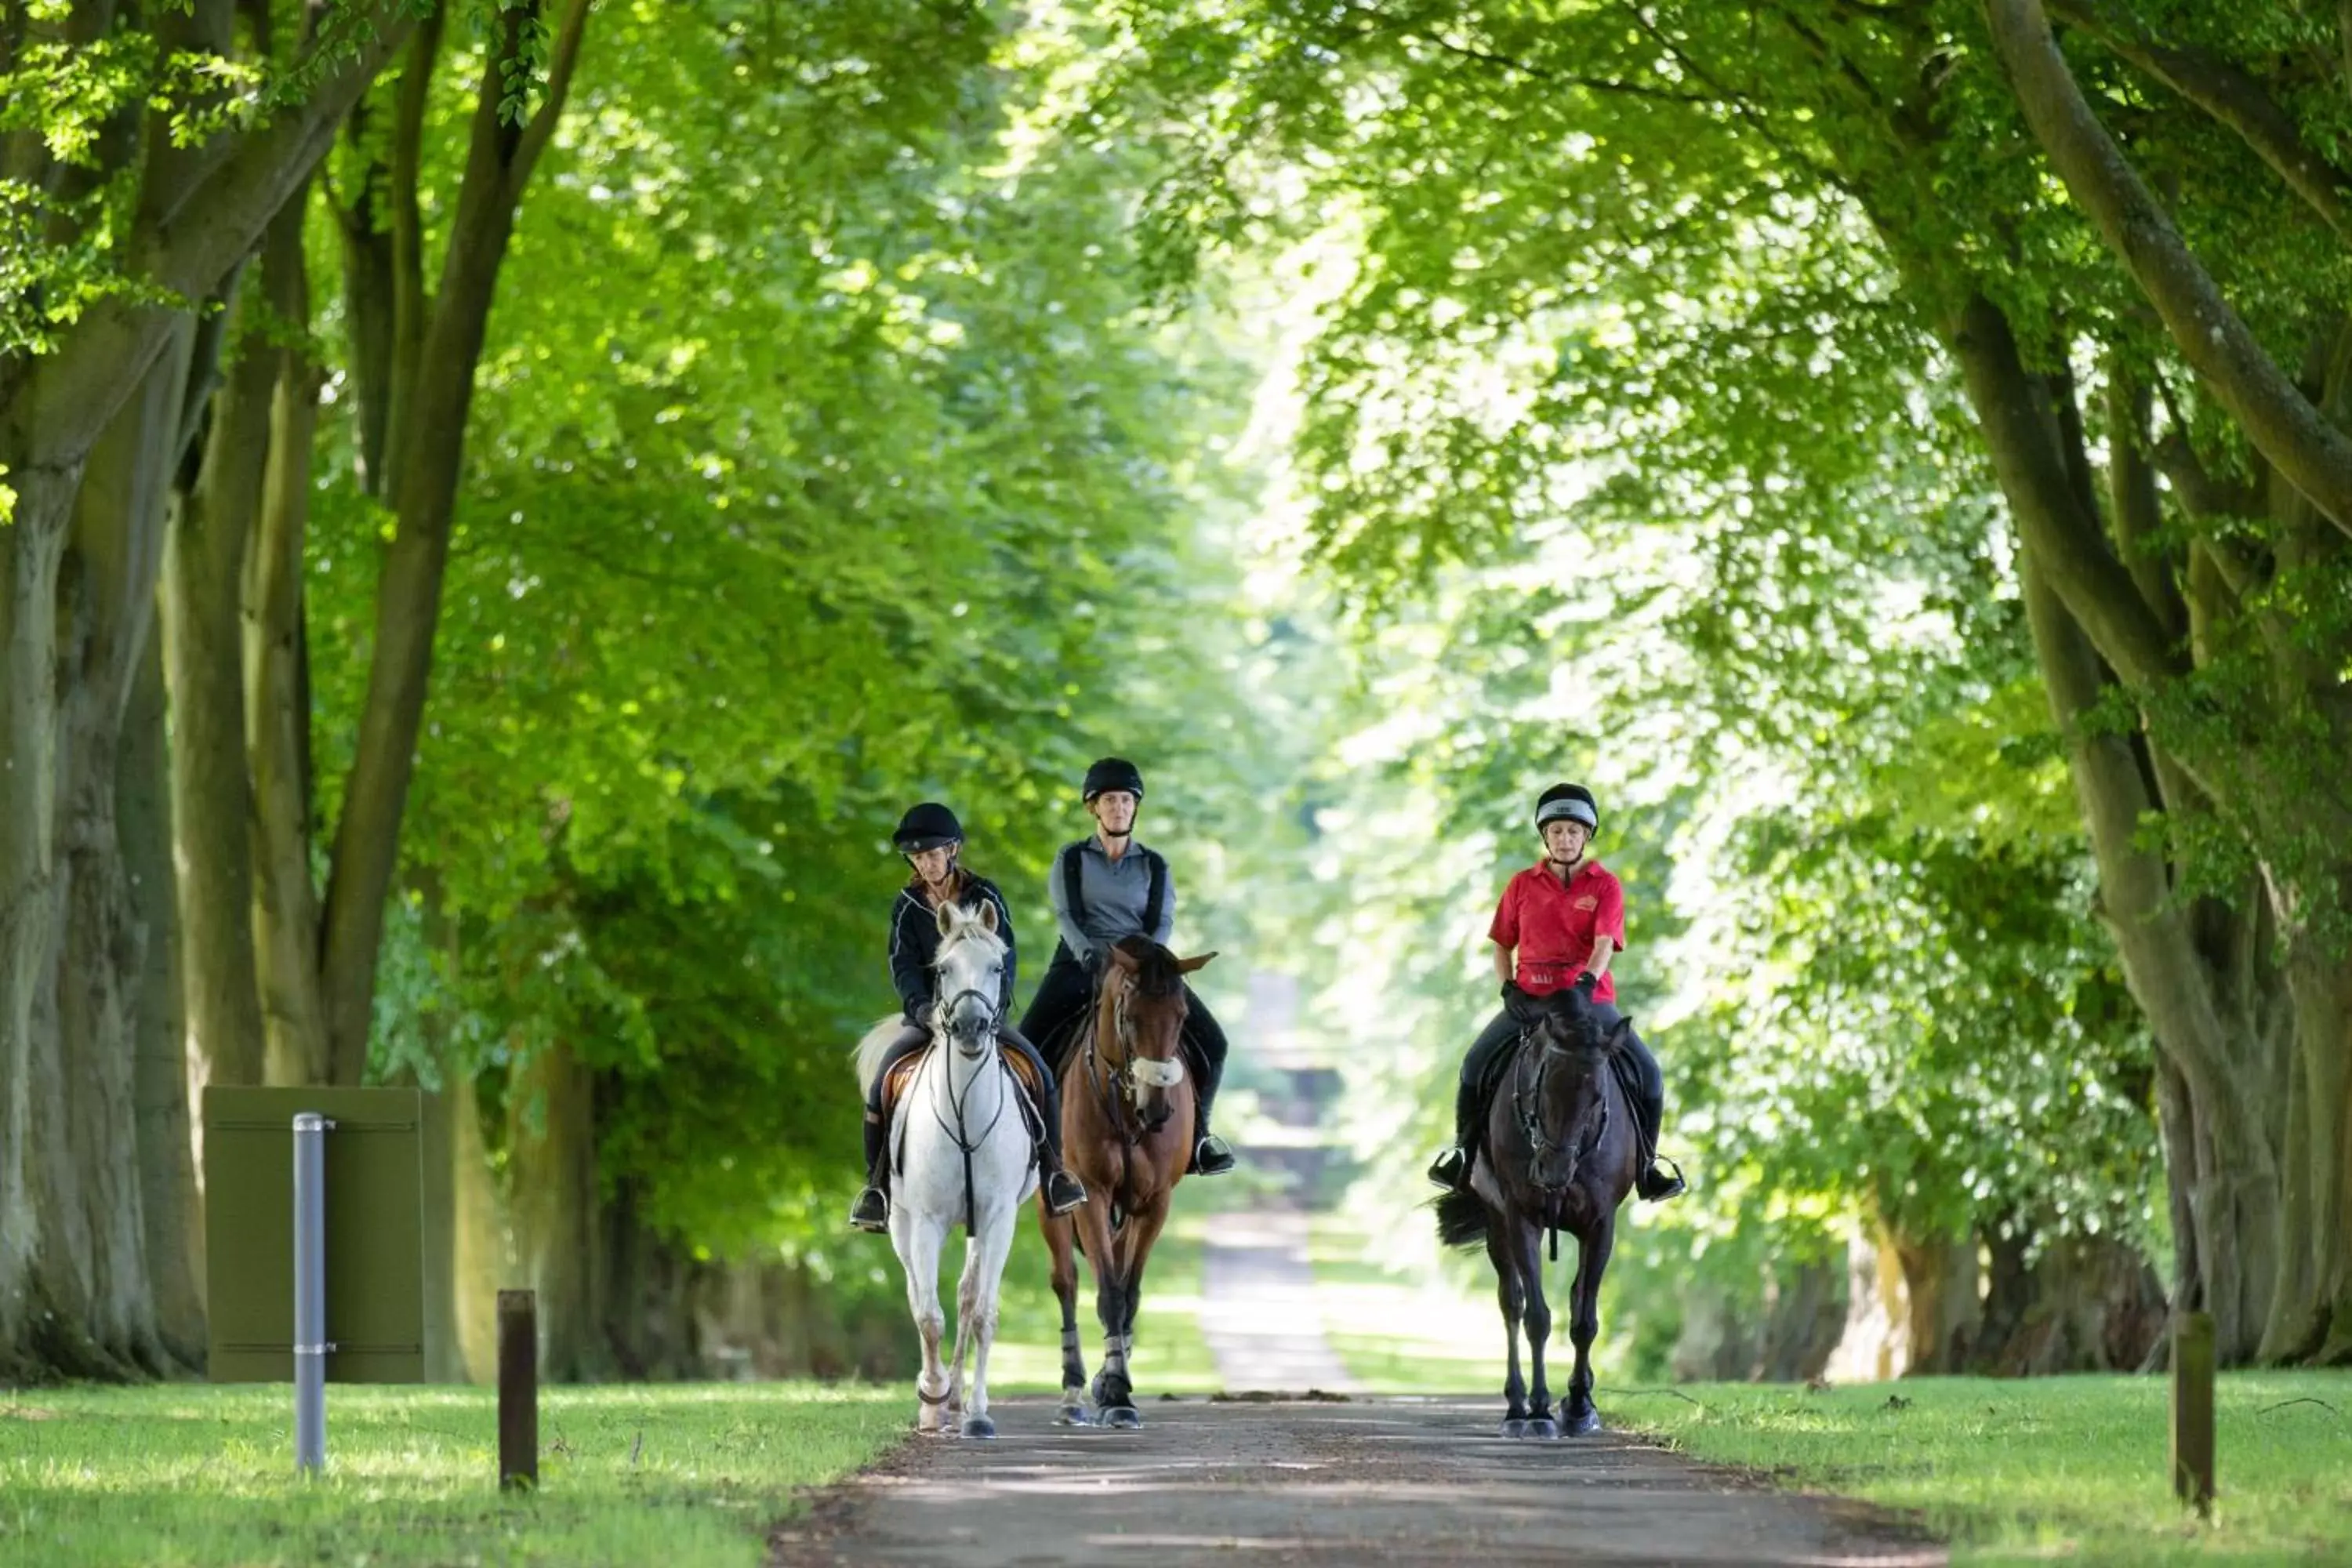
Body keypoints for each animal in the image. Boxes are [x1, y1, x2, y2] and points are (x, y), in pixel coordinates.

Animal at [847, 902, 1030, 1439]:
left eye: (997, 966)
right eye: (944, 969)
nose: (970, 1028)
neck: (966, 1113)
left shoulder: (997, 1218)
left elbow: (984, 1313)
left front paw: (978, 1413)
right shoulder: (926, 1221)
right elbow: (928, 1315)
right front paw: (931, 1399)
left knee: (968, 1297)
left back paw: (959, 1400)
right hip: (902, 1223)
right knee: (916, 1292)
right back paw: (938, 1396)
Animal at [1040, 940, 1214, 1429]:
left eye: (1181, 1016)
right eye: (1131, 1017)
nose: (1157, 1112)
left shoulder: (1154, 1202)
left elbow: (1129, 1290)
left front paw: (1113, 1385)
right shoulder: (1091, 1194)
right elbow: (1110, 1293)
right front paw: (1117, 1392)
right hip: (1051, 1201)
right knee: (1066, 1281)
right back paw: (1072, 1392)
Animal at [1430, 987, 1637, 1439]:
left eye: (1598, 1097)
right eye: (1543, 1087)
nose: (1552, 1172)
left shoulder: (1601, 1224)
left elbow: (1585, 1321)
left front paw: (1579, 1407)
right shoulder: (1522, 1217)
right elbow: (1538, 1318)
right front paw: (1540, 1411)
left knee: (1576, 1299)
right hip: (1497, 1225)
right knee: (1512, 1303)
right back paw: (1516, 1406)